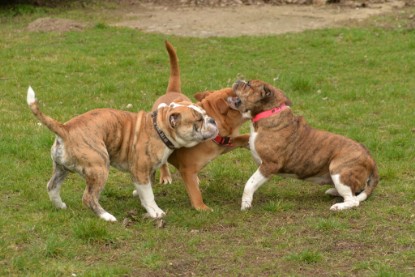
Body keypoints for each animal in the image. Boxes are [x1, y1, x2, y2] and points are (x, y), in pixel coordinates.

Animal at [26, 84, 218, 220]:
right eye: (198, 120)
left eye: (205, 113)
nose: (212, 120)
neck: (160, 128)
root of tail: (65, 129)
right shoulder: (140, 170)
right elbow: (149, 195)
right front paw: (155, 212)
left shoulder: (146, 171)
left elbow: (146, 188)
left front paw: (140, 196)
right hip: (100, 167)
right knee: (88, 197)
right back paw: (107, 217)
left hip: (61, 168)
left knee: (52, 186)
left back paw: (60, 206)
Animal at [149, 40, 249, 209]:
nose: (240, 81)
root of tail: (171, 91)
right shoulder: (187, 170)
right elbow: (195, 193)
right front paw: (202, 208)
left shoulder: (226, 143)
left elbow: (242, 138)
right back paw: (166, 175)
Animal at [228, 78, 380, 210]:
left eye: (248, 84)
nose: (239, 79)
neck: (268, 112)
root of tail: (370, 158)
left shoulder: (269, 165)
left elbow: (249, 183)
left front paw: (245, 204)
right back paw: (332, 191)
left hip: (338, 170)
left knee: (353, 200)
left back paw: (338, 206)